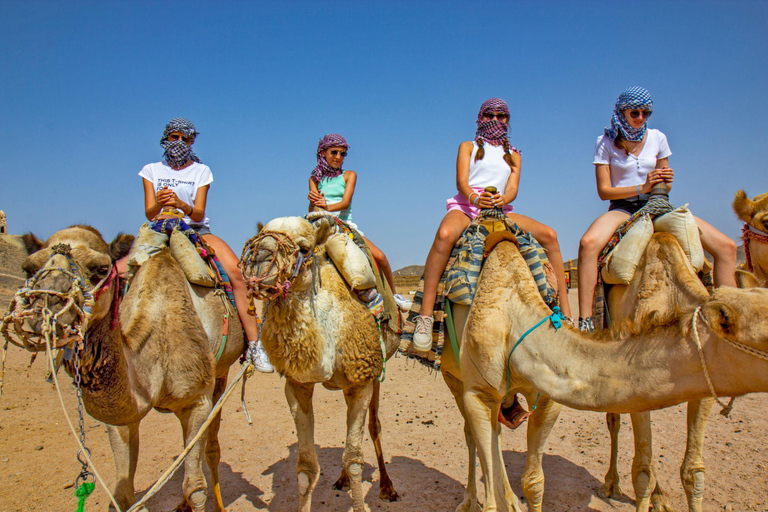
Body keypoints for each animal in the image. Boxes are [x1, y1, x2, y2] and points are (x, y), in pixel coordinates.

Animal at [7, 228, 243, 512]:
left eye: (100, 268)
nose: (46, 305)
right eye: (29, 269)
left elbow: (195, 488)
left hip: (219, 373)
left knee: (211, 445)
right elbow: (122, 496)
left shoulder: (197, 401)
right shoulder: (122, 417)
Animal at [240, 216, 400, 512]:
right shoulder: (297, 385)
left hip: (374, 374)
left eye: (304, 248)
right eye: (259, 238)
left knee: (374, 427)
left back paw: (387, 487)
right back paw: (342, 480)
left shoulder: (361, 379)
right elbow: (306, 467)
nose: (259, 260)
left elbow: (355, 459)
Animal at [440, 233, 768, 512]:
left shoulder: (547, 397)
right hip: (453, 377)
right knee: (472, 435)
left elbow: (534, 482)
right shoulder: (478, 393)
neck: (515, 317)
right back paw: (469, 502)